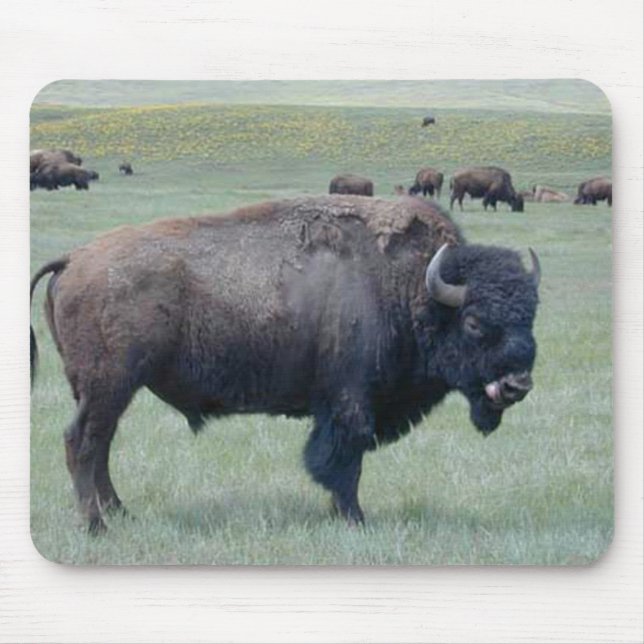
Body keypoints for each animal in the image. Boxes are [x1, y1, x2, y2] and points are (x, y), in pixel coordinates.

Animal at [31, 196, 540, 533]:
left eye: (531, 314)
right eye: (473, 322)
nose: (517, 384)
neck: (412, 288)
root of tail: (74, 258)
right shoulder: (349, 402)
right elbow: (344, 460)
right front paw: (355, 519)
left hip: (105, 391)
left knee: (100, 445)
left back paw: (121, 513)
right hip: (109, 385)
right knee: (82, 442)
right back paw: (96, 526)